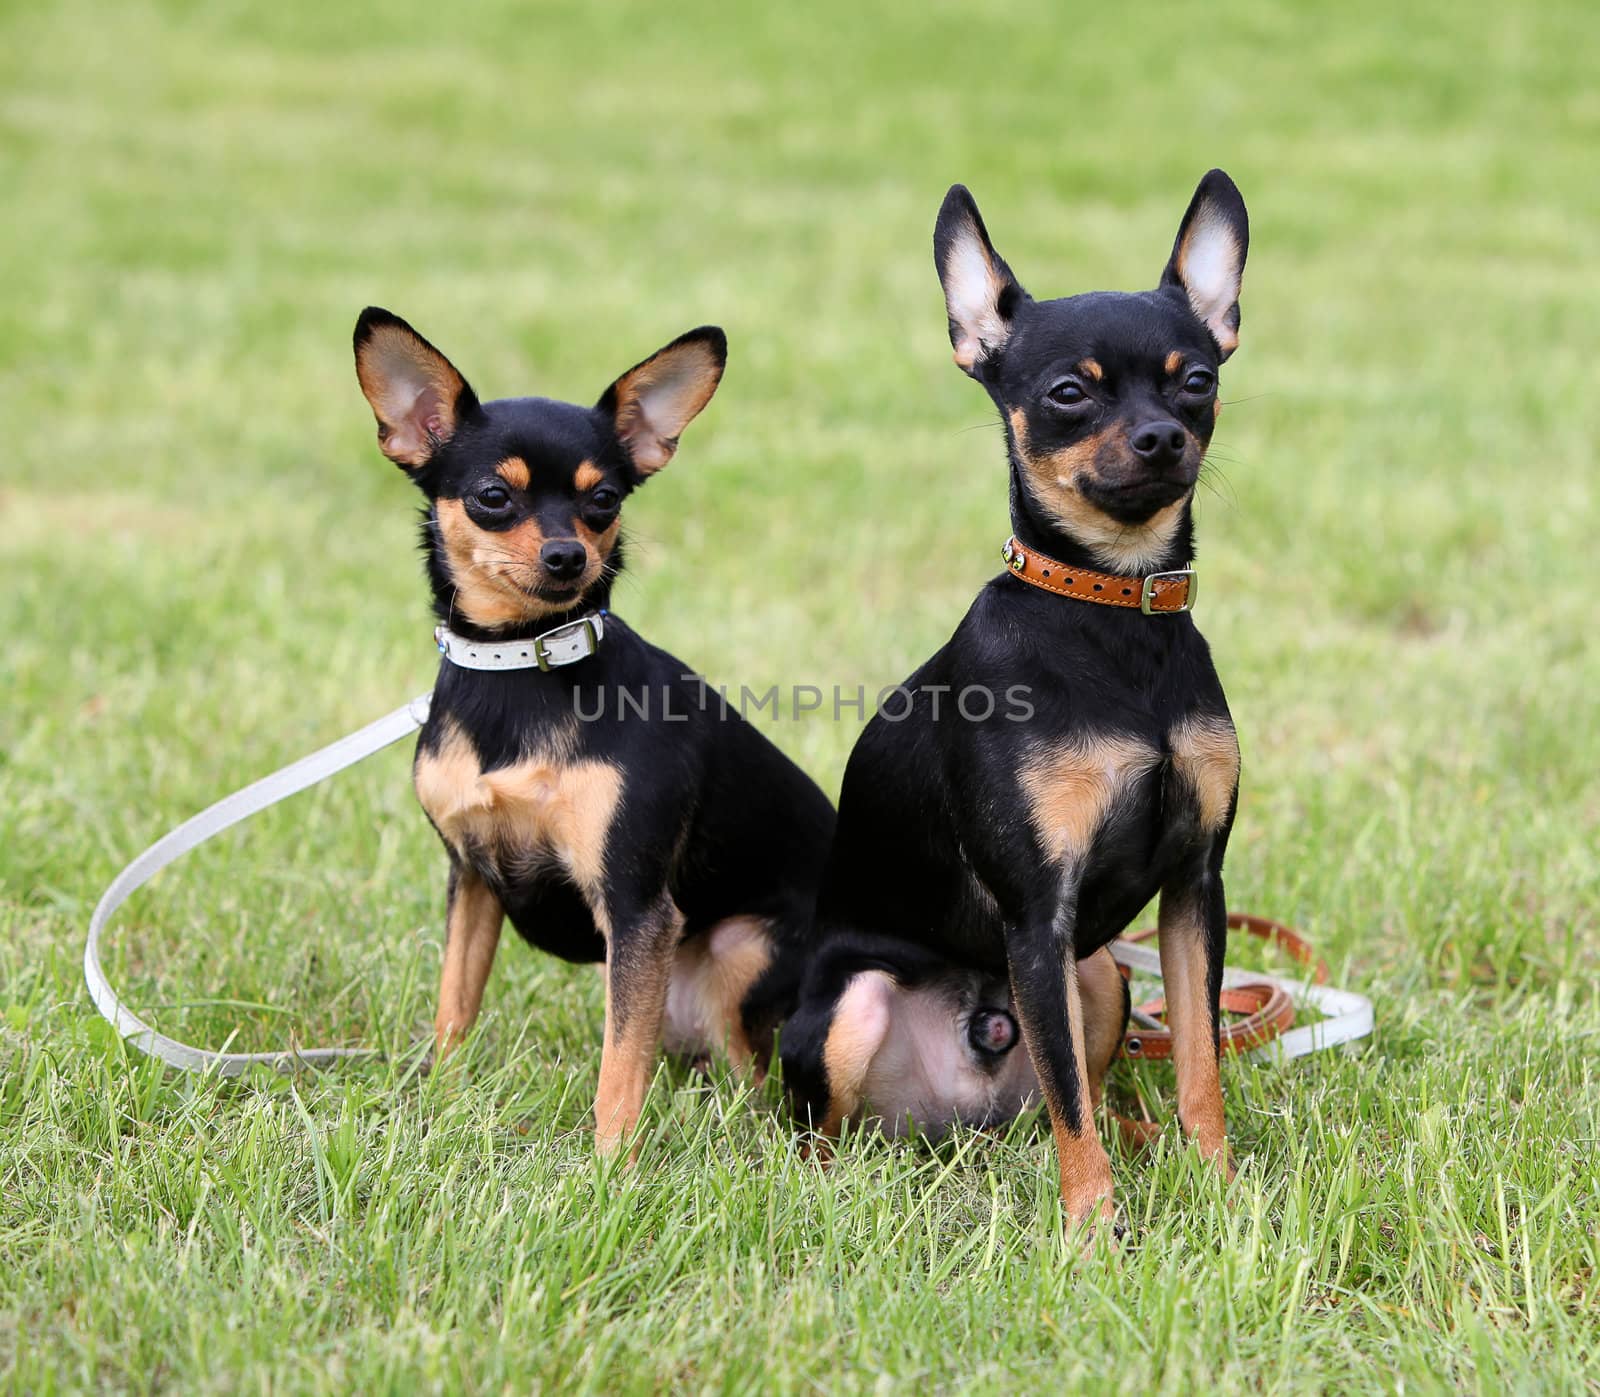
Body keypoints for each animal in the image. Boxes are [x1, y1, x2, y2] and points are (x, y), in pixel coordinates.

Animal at [355, 310, 832, 1152]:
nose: (566, 554)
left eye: (604, 498)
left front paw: (612, 1165)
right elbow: (454, 1006)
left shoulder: (638, 907)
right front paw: (440, 1102)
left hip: (738, 953)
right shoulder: (470, 878)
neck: (521, 666)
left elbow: (619, 1067)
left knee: (752, 1079)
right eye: (492, 497)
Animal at [780, 172, 1241, 1222]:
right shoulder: (1038, 913)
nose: (1163, 436)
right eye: (1069, 393)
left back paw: (1139, 1135)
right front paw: (1093, 1228)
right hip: (863, 1003)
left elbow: (1197, 1064)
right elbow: (1070, 1097)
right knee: (830, 1129)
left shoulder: (1195, 888)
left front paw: (1223, 1186)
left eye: (1196, 381)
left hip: (1101, 971)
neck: (1115, 611)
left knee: (1077, 1090)